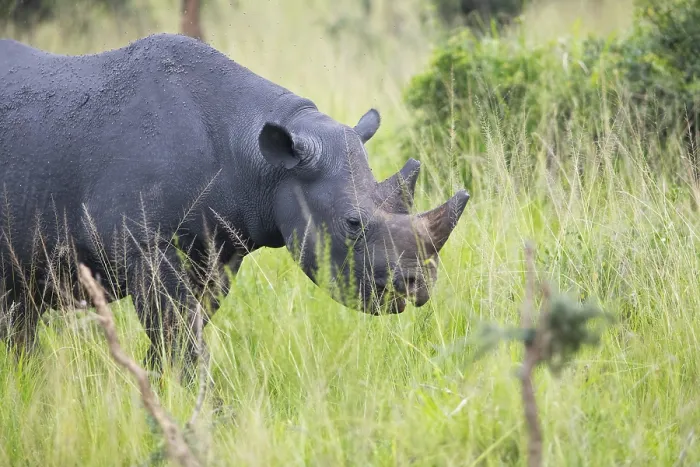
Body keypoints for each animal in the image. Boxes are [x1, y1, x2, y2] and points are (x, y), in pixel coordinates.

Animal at [0, 33, 469, 374]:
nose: (418, 286)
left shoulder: (219, 248)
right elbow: (178, 332)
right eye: (352, 224)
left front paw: (161, 386)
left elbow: (181, 331)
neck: (260, 159)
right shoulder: (145, 245)